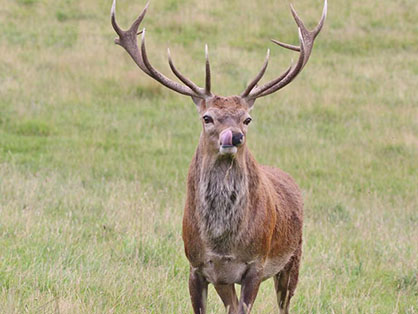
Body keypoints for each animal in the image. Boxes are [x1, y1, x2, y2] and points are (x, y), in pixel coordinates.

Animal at [110, 1, 326, 312]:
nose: (234, 136)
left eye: (247, 119)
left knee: (284, 303)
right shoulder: (198, 267)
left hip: (293, 256)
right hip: (228, 279)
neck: (222, 244)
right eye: (207, 117)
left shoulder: (256, 265)